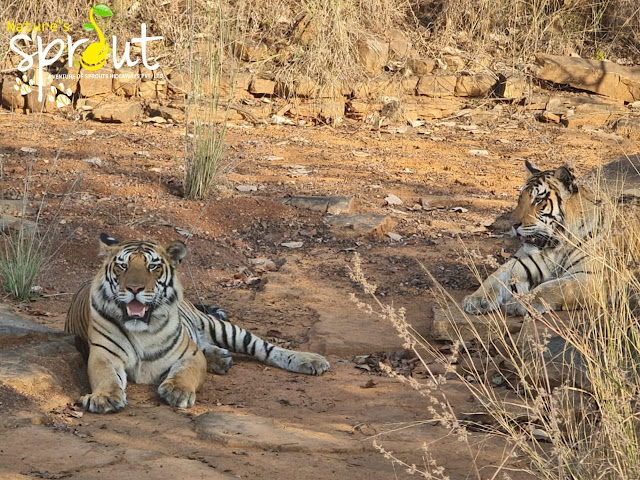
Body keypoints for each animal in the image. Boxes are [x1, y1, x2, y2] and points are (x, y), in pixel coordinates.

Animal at [65, 232, 330, 412]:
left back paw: (310, 361)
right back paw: (220, 359)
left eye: (153, 266)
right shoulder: (103, 355)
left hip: (221, 327)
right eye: (122, 266)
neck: (141, 329)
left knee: (266, 347)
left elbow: (187, 372)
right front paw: (104, 397)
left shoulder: (189, 354)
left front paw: (178, 390)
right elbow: (106, 376)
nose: (134, 288)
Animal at [462, 161, 604, 316]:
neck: (557, 246)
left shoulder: (593, 276)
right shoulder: (521, 262)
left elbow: (554, 287)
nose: (512, 224)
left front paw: (523, 301)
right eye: (520, 198)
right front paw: (476, 299)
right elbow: (496, 276)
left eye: (538, 200)